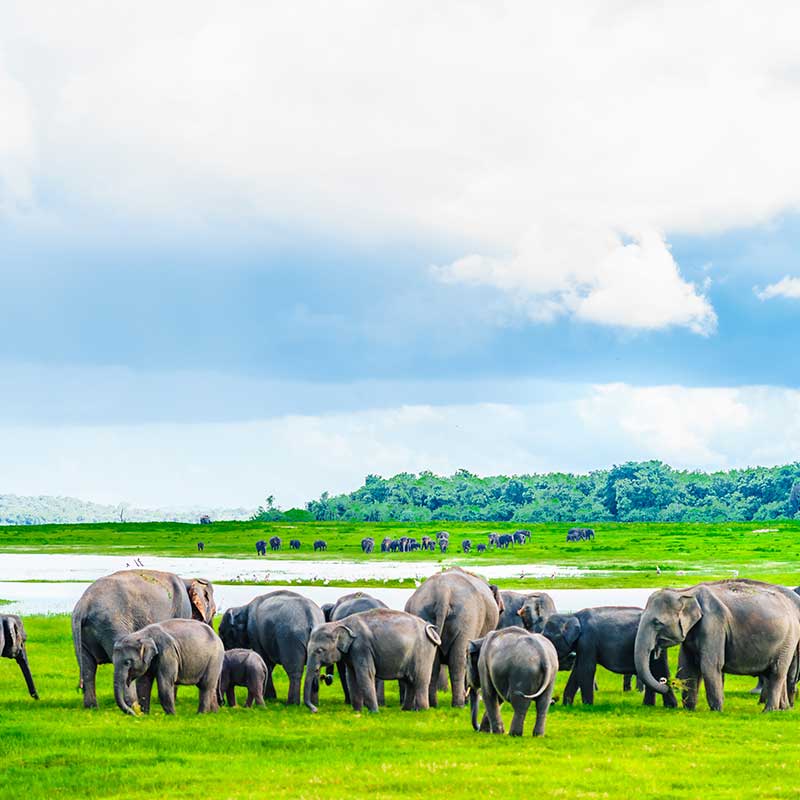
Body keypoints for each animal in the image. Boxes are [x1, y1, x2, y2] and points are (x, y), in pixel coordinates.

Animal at [71, 568, 214, 708]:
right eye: (214, 612)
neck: (187, 581)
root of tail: (84, 605)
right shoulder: (182, 609)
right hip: (112, 625)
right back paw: (134, 705)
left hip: (83, 633)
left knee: (88, 668)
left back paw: (92, 707)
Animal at [306, 608, 444, 716]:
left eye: (319, 650)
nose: (315, 710)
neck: (339, 623)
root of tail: (430, 629)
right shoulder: (351, 653)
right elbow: (351, 677)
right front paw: (357, 712)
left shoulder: (361, 647)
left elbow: (365, 675)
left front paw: (374, 712)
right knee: (409, 681)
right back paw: (405, 710)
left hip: (423, 651)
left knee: (420, 680)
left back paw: (421, 711)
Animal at [406, 564, 500, 708]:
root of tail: (442, 593)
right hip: (468, 618)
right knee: (459, 659)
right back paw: (459, 704)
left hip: (423, 611)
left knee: (434, 662)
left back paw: (433, 704)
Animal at [540, 608, 680, 708]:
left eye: (548, 636)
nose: (553, 702)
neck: (572, 615)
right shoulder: (581, 645)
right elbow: (577, 671)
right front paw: (567, 705)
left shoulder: (588, 640)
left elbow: (586, 669)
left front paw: (587, 706)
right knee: (656, 670)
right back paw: (652, 706)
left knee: (659, 669)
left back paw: (666, 706)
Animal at [636, 576, 800, 712]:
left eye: (657, 623)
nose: (664, 683)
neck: (686, 592)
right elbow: (687, 667)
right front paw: (689, 710)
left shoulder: (713, 623)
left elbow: (710, 665)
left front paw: (717, 710)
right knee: (775, 673)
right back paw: (783, 710)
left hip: (788, 639)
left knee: (777, 672)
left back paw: (768, 711)